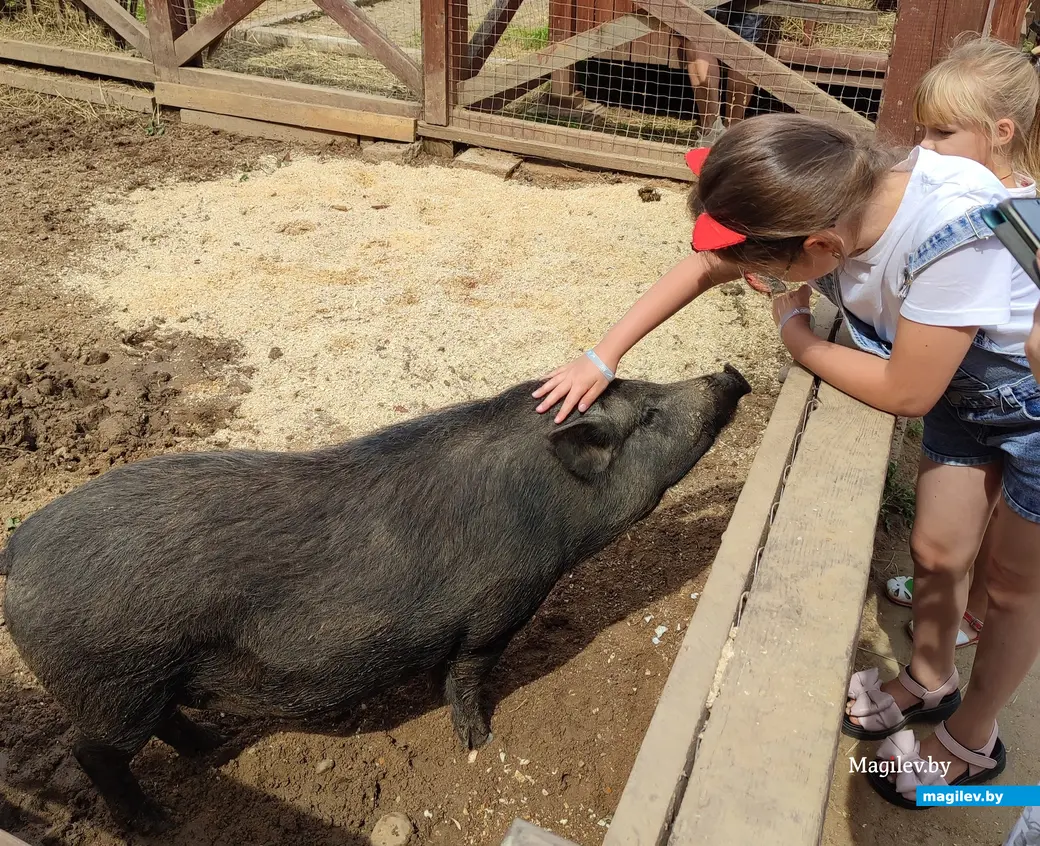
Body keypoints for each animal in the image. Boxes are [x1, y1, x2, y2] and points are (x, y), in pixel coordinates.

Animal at [0, 370, 748, 832]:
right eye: (648, 414)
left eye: (647, 387)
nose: (730, 374)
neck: (548, 508)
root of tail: (17, 548)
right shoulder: (501, 607)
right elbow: (468, 673)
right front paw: (478, 741)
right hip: (112, 682)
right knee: (92, 752)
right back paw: (161, 822)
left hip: (146, 683)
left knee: (165, 726)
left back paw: (216, 745)